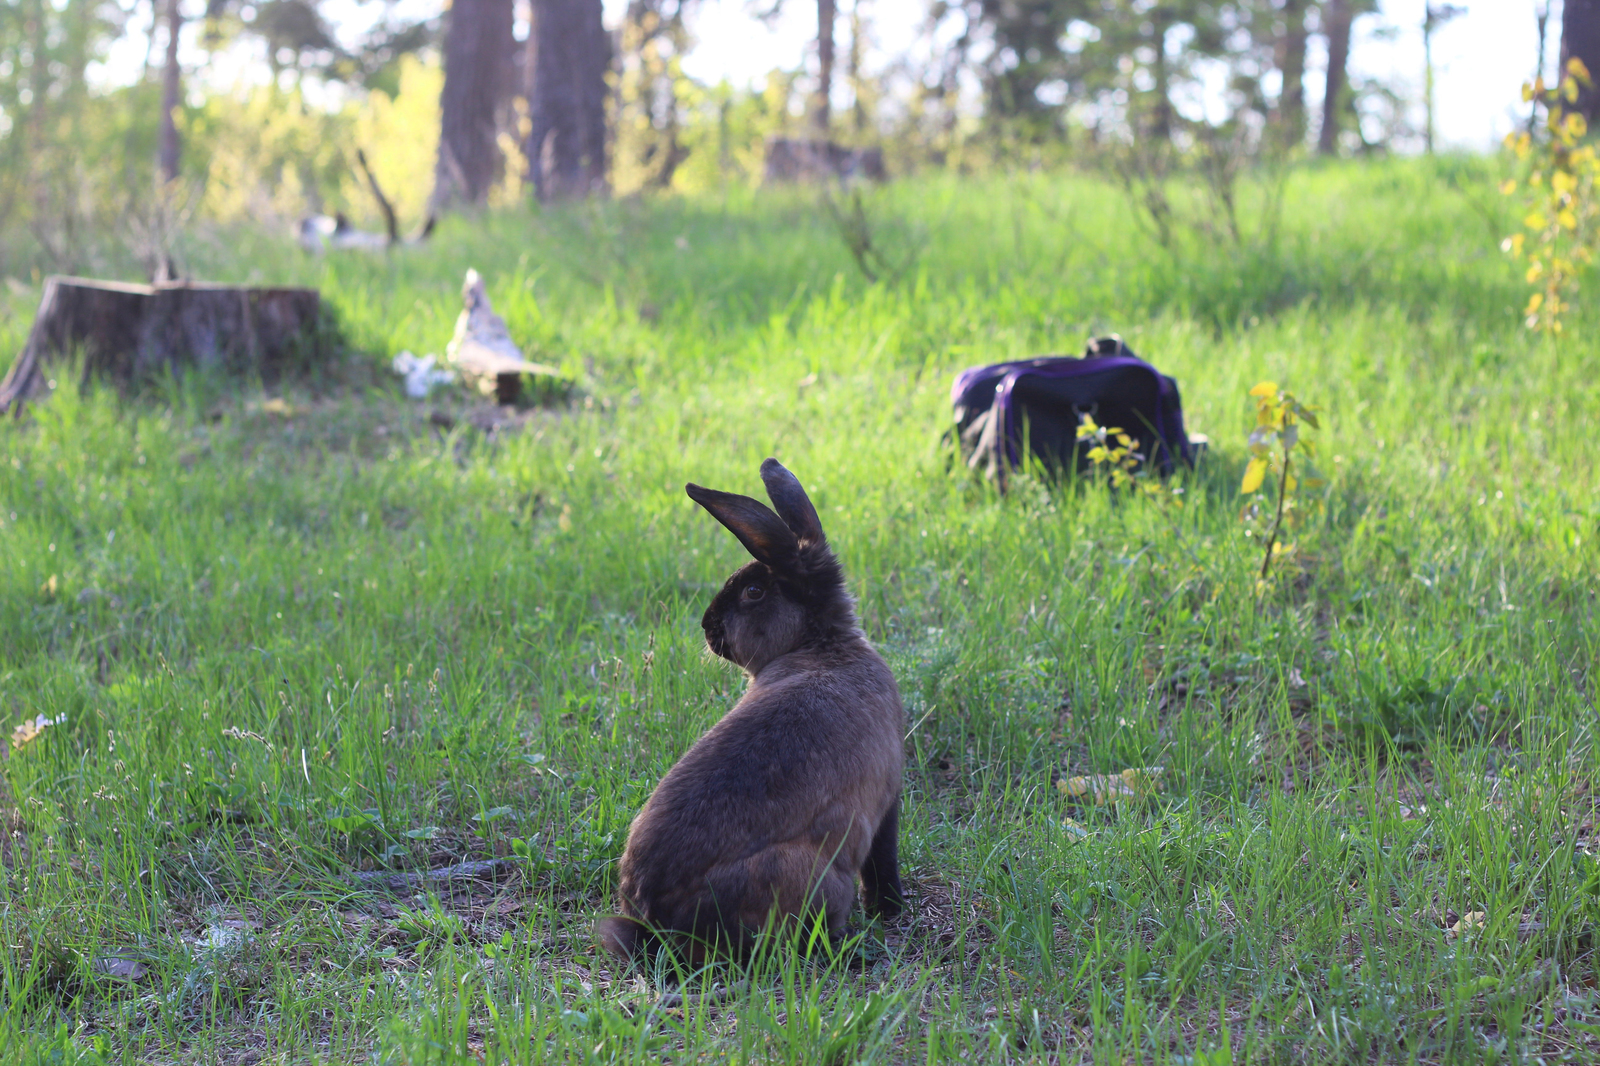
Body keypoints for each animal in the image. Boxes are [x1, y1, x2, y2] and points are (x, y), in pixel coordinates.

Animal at [598, 457, 908, 960]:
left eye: (753, 592)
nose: (707, 627)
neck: (821, 642)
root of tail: (658, 922)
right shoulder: (888, 802)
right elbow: (883, 863)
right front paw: (890, 910)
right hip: (818, 878)